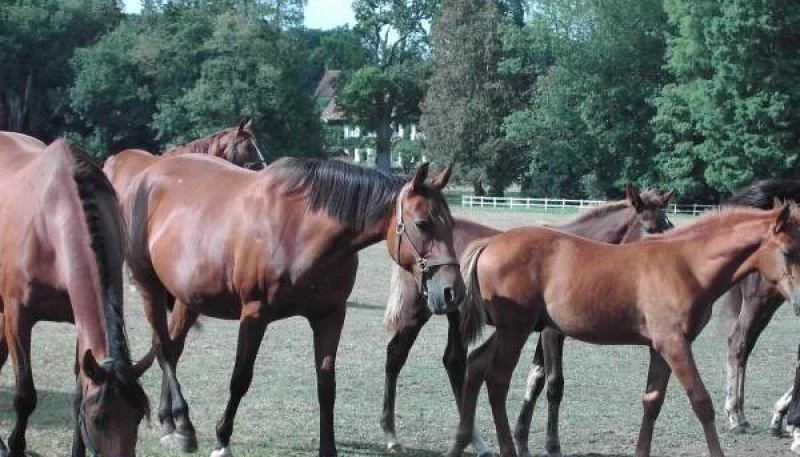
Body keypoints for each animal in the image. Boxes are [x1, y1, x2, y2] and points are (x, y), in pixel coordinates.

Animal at [0, 132, 153, 457]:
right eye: (99, 420)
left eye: (138, 415)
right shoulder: (18, 316)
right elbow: (24, 395)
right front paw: (16, 446)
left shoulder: (78, 319)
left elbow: (78, 394)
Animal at [113, 154, 463, 457]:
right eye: (422, 223)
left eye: (451, 224)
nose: (452, 291)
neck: (299, 229)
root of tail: (149, 173)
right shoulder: (254, 314)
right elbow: (240, 378)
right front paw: (222, 439)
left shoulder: (330, 315)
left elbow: (326, 385)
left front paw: (328, 448)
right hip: (150, 288)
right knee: (164, 348)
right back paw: (184, 425)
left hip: (188, 298)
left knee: (173, 347)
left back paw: (170, 422)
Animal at [380, 185, 675, 455]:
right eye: (651, 227)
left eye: (669, 224)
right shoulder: (551, 333)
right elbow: (554, 384)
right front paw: (551, 446)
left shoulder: (541, 331)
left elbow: (536, 379)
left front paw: (522, 438)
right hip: (418, 313)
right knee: (396, 355)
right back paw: (391, 434)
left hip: (457, 317)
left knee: (454, 361)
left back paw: (473, 439)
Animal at [448, 204, 800, 457]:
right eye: (787, 252)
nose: (798, 302)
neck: (686, 265)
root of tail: (491, 242)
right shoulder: (674, 344)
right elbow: (701, 402)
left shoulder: (661, 346)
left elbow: (652, 402)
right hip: (515, 330)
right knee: (496, 380)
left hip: (513, 329)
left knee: (476, 364)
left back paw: (460, 442)